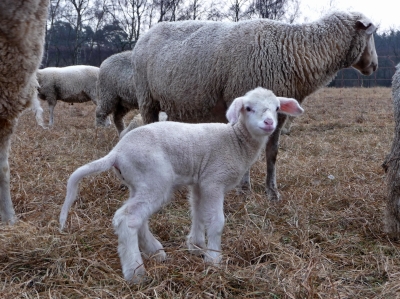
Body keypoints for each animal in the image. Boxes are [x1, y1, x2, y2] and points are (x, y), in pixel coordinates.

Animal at [58, 87, 304, 284]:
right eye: (249, 108)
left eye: (276, 108)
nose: (269, 123)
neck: (236, 140)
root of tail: (116, 152)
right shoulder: (214, 180)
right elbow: (216, 221)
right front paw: (214, 258)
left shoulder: (200, 182)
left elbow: (197, 213)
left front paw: (196, 246)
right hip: (155, 178)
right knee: (127, 218)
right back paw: (136, 273)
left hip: (140, 182)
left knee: (138, 217)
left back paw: (155, 251)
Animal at [132, 11, 378, 202]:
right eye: (371, 33)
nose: (375, 66)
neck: (295, 52)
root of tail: (146, 34)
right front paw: (244, 190)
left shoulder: (279, 115)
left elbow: (272, 154)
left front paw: (272, 193)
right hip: (147, 98)